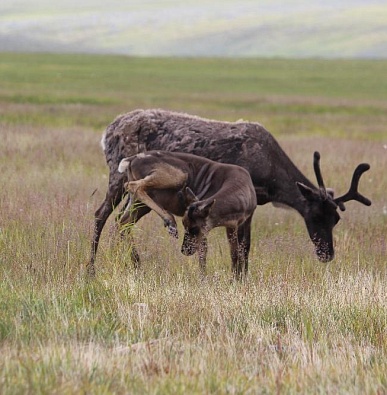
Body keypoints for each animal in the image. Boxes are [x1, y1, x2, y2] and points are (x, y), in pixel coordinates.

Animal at [118, 151, 258, 278]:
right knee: (132, 186)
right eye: (185, 225)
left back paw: (136, 265)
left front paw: (241, 278)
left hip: (138, 204)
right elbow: (205, 252)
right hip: (179, 176)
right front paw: (206, 280)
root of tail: (132, 160)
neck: (240, 183)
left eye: (194, 228)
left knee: (123, 223)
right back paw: (170, 222)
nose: (184, 251)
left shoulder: (241, 222)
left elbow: (243, 249)